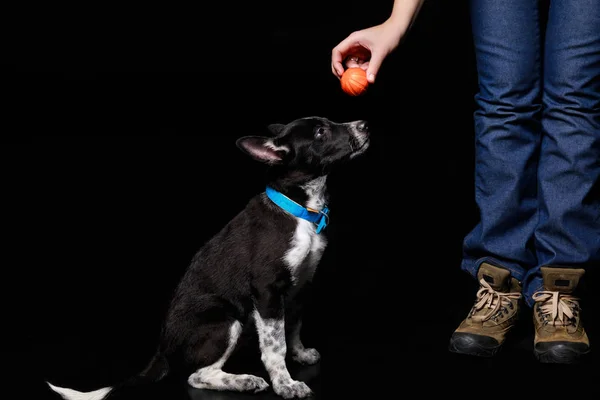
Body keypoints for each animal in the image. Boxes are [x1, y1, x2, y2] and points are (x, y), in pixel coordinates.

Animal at [47, 115, 370, 396]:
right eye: (320, 132)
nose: (364, 124)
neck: (299, 209)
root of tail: (161, 351)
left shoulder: (301, 285)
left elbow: (293, 326)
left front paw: (301, 354)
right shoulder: (267, 291)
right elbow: (275, 345)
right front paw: (285, 384)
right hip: (225, 322)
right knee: (196, 375)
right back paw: (243, 381)